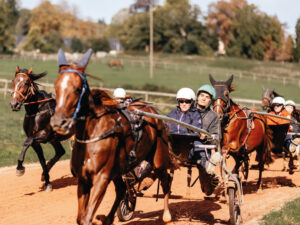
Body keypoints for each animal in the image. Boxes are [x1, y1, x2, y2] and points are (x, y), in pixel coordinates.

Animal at [50, 49, 175, 225]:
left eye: (77, 88)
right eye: (56, 86)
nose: (58, 122)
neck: (93, 135)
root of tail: (153, 111)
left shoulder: (102, 177)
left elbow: (87, 217)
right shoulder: (83, 179)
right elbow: (81, 218)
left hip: (158, 160)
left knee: (165, 181)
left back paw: (166, 215)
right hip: (118, 170)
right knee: (122, 189)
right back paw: (108, 218)